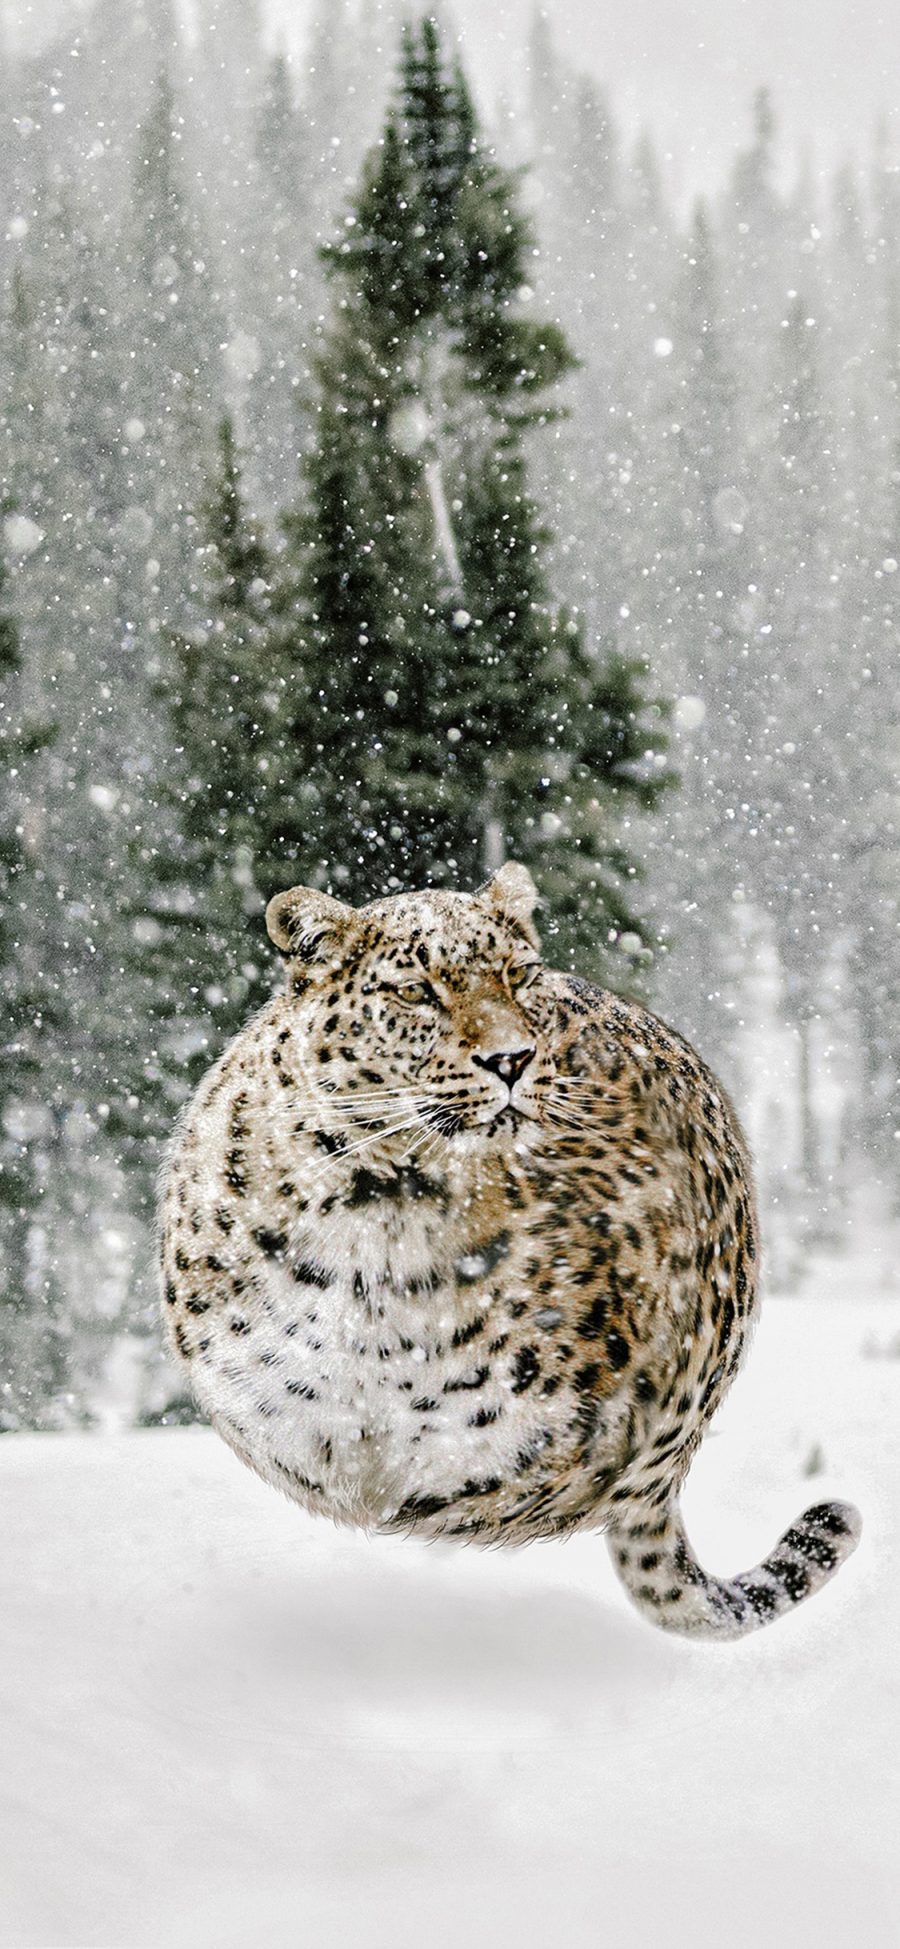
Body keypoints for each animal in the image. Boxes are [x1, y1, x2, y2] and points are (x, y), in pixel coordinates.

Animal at [157, 861, 861, 1637]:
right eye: (416, 991)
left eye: (519, 976)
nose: (511, 1059)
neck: (382, 1212)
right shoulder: (246, 1385)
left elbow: (489, 1468)